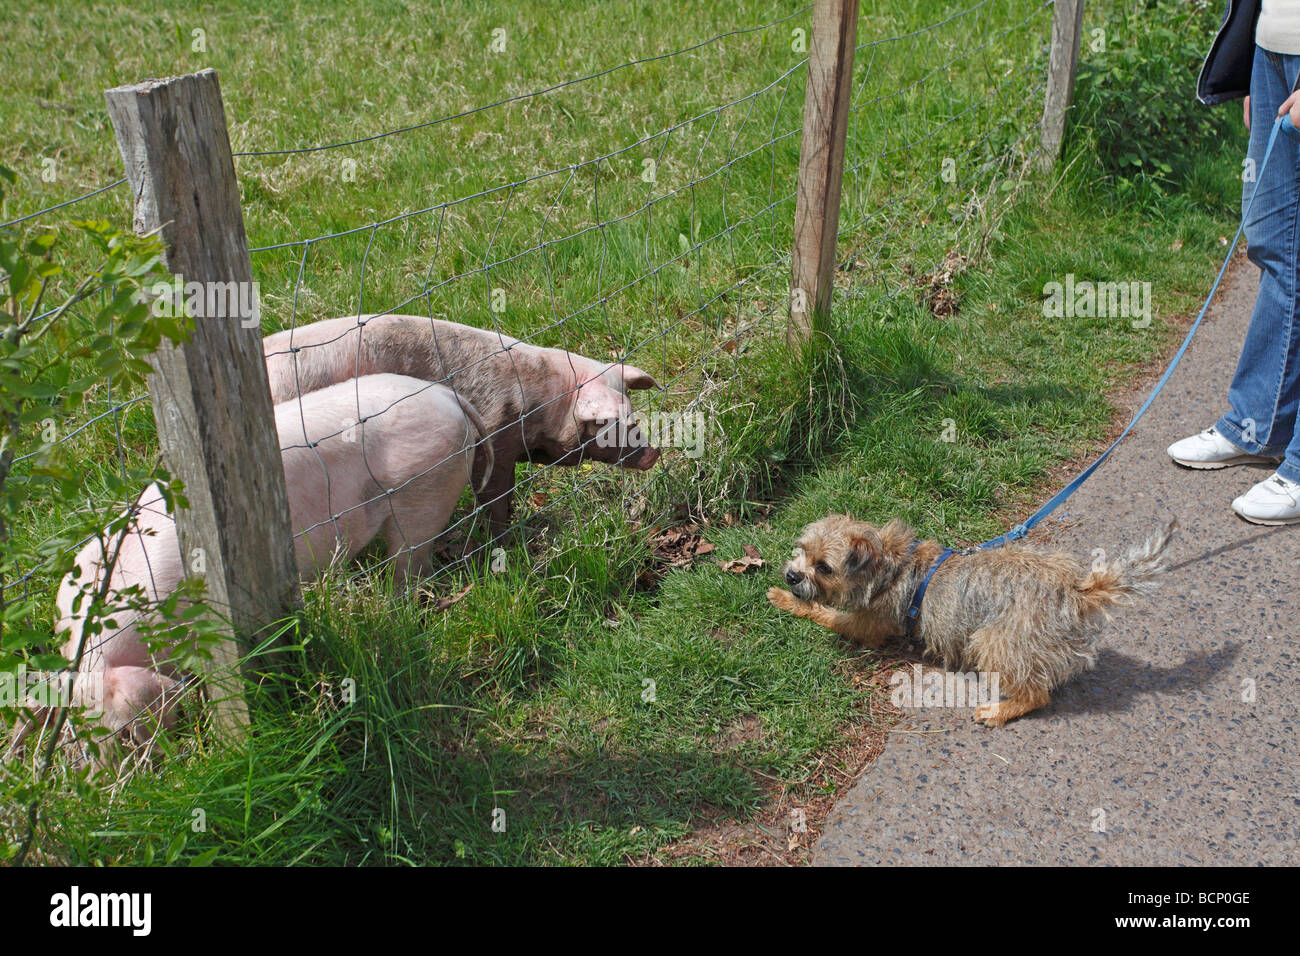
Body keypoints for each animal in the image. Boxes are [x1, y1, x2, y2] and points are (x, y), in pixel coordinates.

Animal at [22, 374, 488, 754]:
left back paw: (399, 608)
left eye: (124, 732)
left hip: (423, 490)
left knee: (410, 565)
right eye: (78, 737)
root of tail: (449, 396)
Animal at [266, 317, 670, 535]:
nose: (653, 453)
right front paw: (502, 537)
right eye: (606, 423)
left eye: (633, 415)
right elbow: (494, 494)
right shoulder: (495, 435)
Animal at [764, 515, 1175, 723]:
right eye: (801, 551)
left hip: (993, 640)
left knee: (1037, 694)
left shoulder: (865, 625)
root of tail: (1076, 591)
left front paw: (784, 599)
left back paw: (999, 711)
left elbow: (822, 612)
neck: (889, 565)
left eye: (823, 567)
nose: (792, 575)